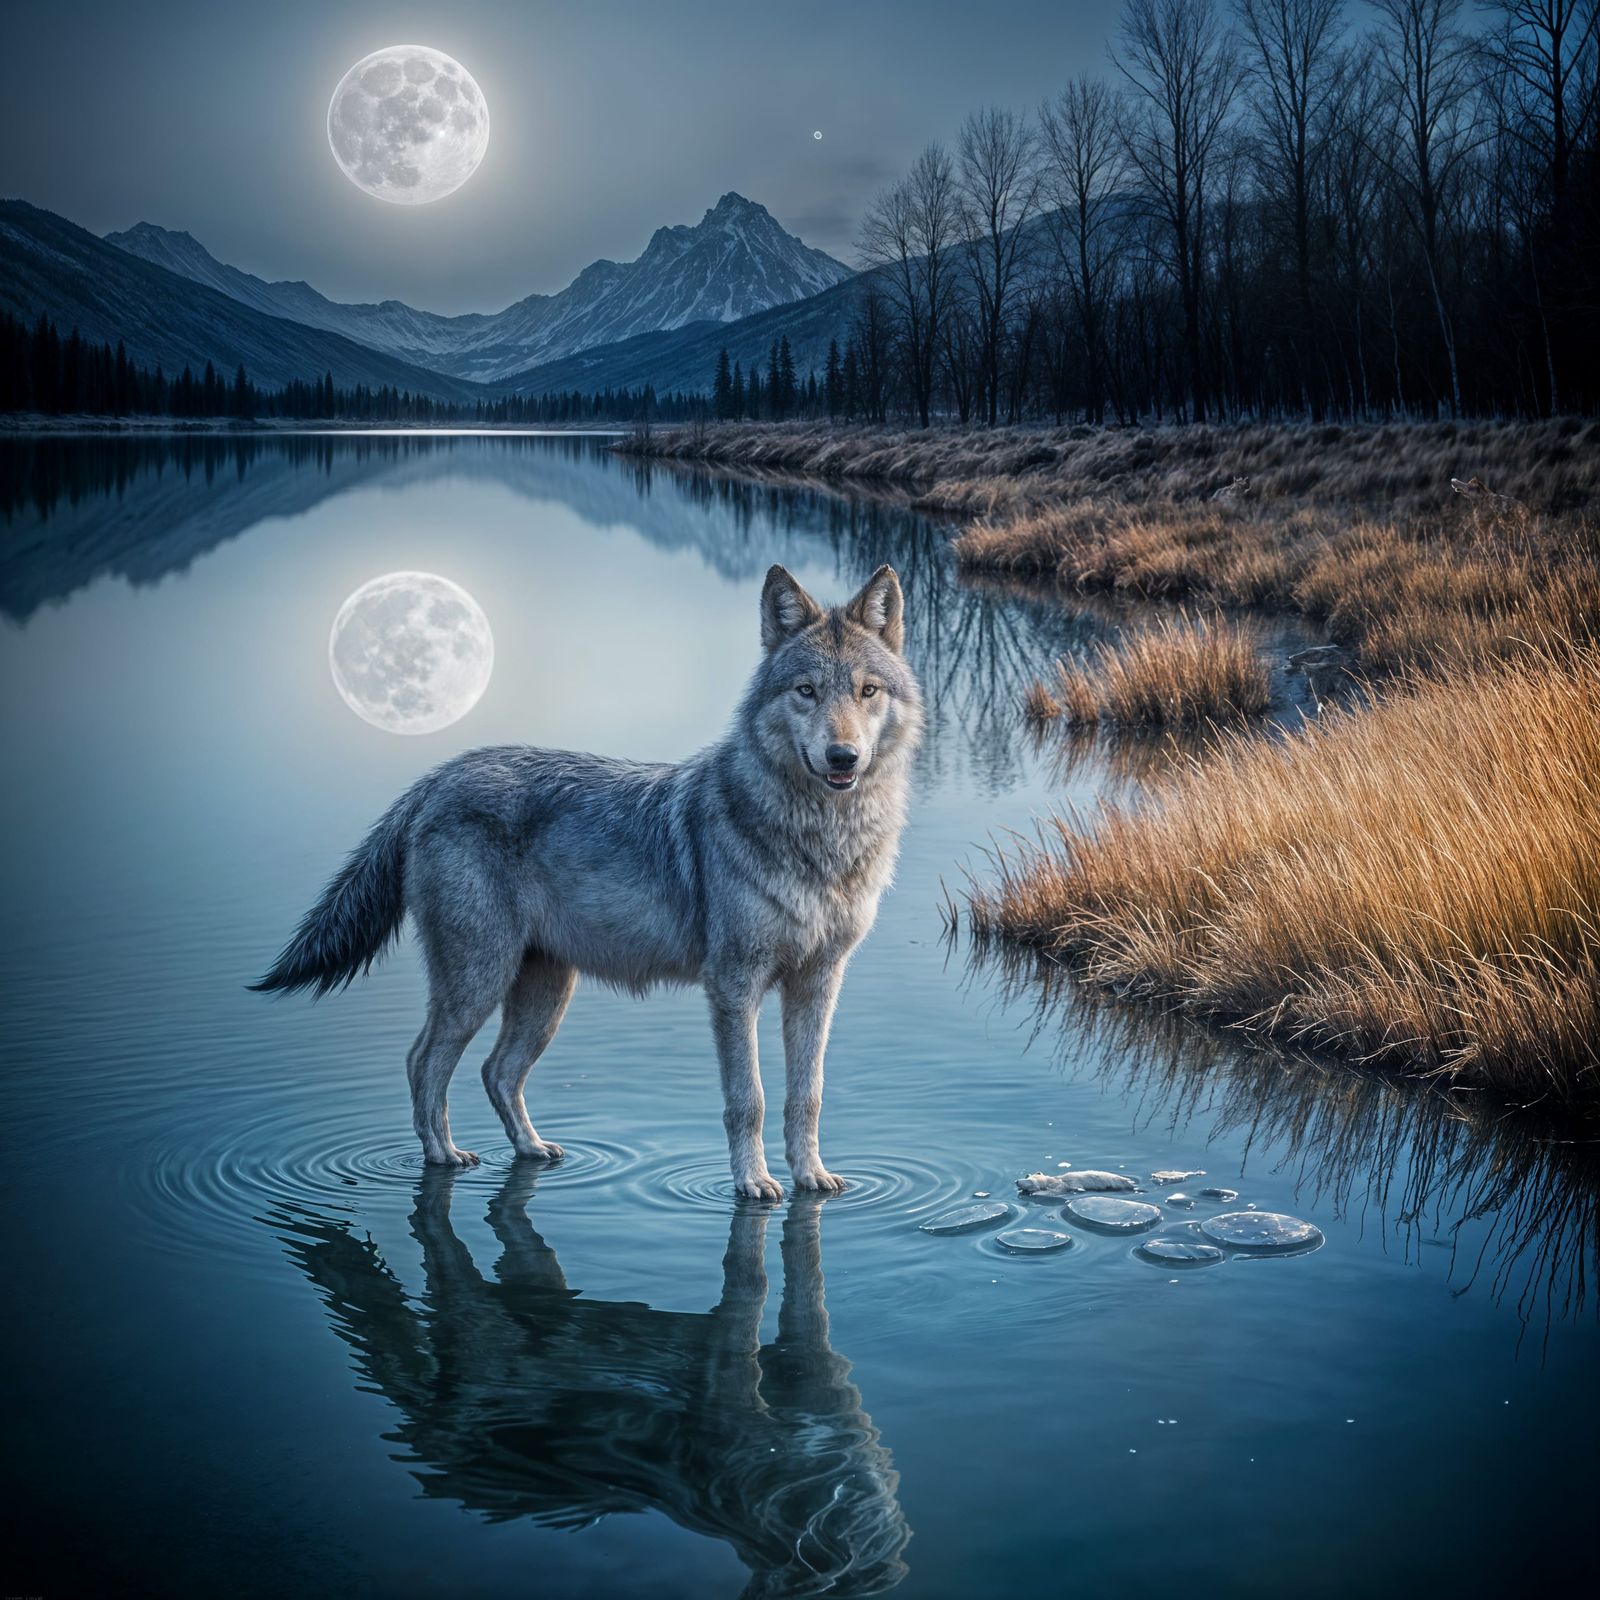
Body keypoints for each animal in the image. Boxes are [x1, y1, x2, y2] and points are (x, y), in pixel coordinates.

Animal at [253, 564, 923, 1200]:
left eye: (866, 691)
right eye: (807, 691)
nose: (843, 757)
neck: (820, 843)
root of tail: (437, 777)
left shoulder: (819, 983)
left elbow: (806, 1095)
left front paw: (813, 1176)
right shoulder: (734, 986)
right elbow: (749, 1100)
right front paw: (753, 1184)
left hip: (546, 993)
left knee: (496, 1072)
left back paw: (532, 1148)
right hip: (478, 981)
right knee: (424, 1063)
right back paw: (443, 1157)